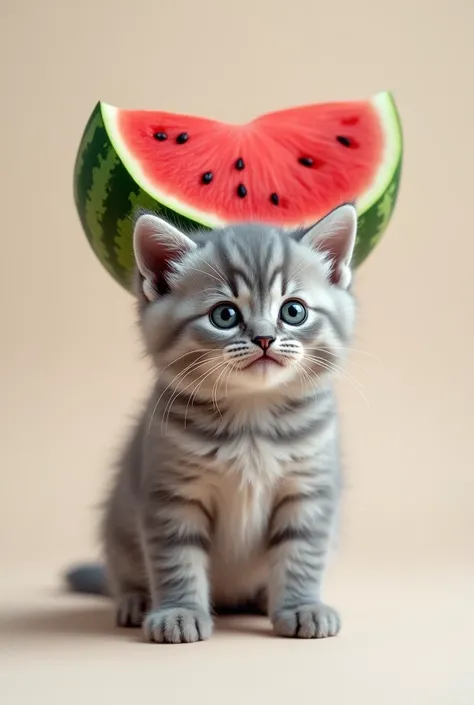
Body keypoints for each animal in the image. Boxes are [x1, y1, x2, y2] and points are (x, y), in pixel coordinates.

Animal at [65, 201, 356, 640]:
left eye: (293, 311)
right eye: (225, 315)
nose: (265, 338)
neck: (252, 417)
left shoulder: (309, 492)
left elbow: (302, 555)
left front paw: (302, 606)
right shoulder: (171, 496)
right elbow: (176, 562)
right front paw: (178, 613)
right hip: (118, 531)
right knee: (123, 577)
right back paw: (135, 601)